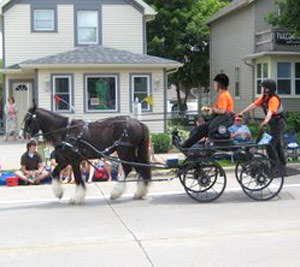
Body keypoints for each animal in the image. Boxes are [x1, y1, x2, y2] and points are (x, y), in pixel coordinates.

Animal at [23, 105, 151, 204]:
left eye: (29, 120)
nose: (23, 135)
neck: (65, 131)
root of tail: (137, 122)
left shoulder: (74, 160)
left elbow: (78, 179)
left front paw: (77, 198)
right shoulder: (66, 159)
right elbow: (55, 172)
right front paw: (59, 193)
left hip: (124, 150)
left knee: (128, 168)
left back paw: (116, 193)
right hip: (129, 151)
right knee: (140, 167)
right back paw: (140, 192)